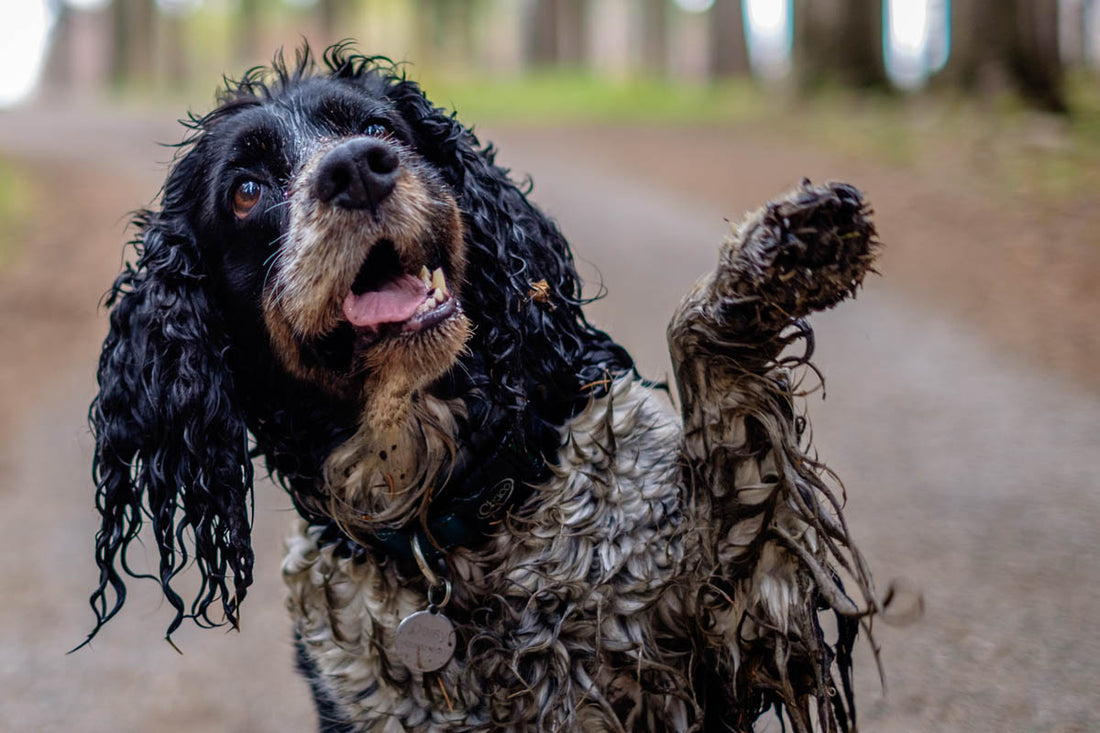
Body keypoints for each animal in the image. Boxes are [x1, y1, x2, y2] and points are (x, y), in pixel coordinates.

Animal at [81, 47, 880, 730]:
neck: (452, 516)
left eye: (378, 129)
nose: (358, 169)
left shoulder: (735, 632)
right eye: (246, 192)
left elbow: (711, 385)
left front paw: (780, 253)